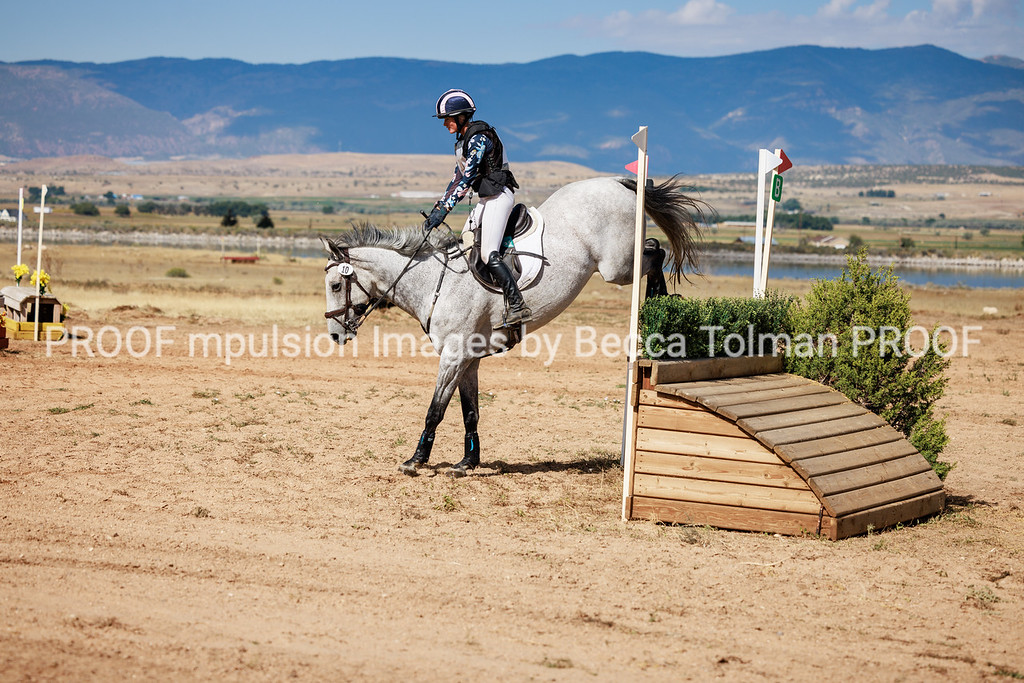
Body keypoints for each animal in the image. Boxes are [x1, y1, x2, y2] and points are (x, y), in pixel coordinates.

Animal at [319, 175, 704, 475]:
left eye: (336, 285)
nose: (336, 335)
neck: (434, 282)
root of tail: (615, 181)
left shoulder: (453, 357)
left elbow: (435, 410)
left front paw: (416, 461)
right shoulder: (469, 359)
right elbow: (470, 412)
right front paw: (467, 463)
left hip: (617, 265)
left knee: (655, 250)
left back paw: (658, 297)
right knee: (655, 249)